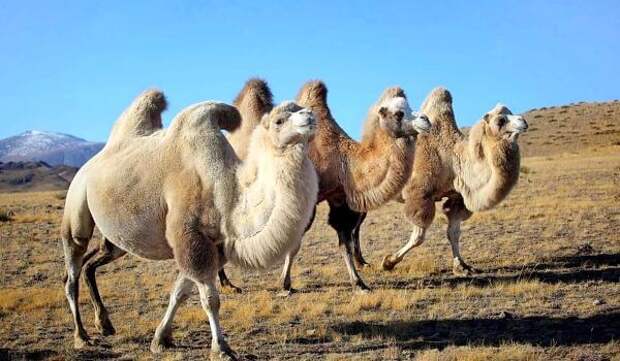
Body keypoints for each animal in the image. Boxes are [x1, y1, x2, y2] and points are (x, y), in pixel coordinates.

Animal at [218, 79, 432, 292]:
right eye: (399, 113)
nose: (426, 120)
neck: (342, 160)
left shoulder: (339, 198)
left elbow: (344, 242)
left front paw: (359, 283)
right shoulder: (307, 200)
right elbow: (295, 244)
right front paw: (285, 284)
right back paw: (228, 284)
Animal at [378, 87, 528, 272]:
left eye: (512, 113)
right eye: (501, 120)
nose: (523, 121)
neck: (453, 160)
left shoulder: (457, 197)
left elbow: (454, 233)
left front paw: (462, 266)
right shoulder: (420, 194)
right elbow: (418, 237)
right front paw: (388, 262)